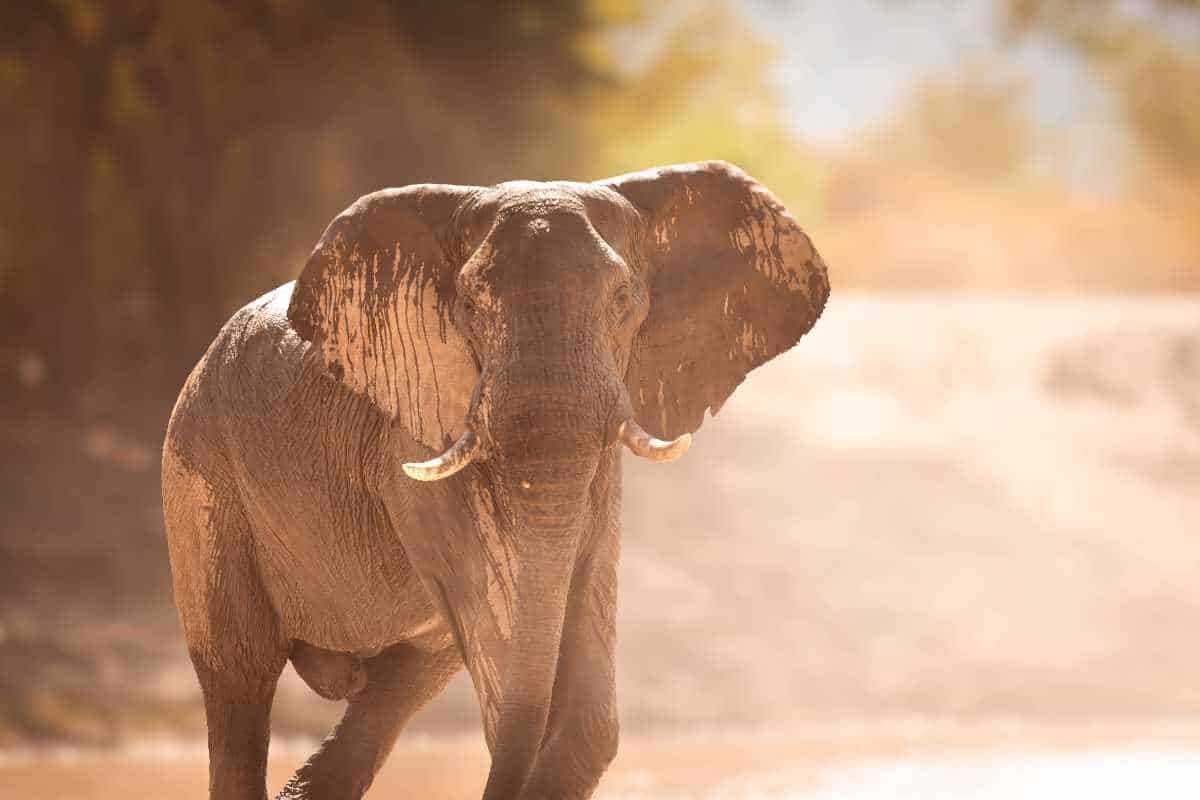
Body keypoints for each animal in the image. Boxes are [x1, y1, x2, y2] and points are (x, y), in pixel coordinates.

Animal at [161, 160, 829, 800]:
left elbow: (588, 630)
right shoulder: (416, 441)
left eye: (623, 301)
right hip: (200, 474)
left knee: (397, 691)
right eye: (470, 307)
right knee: (239, 677)